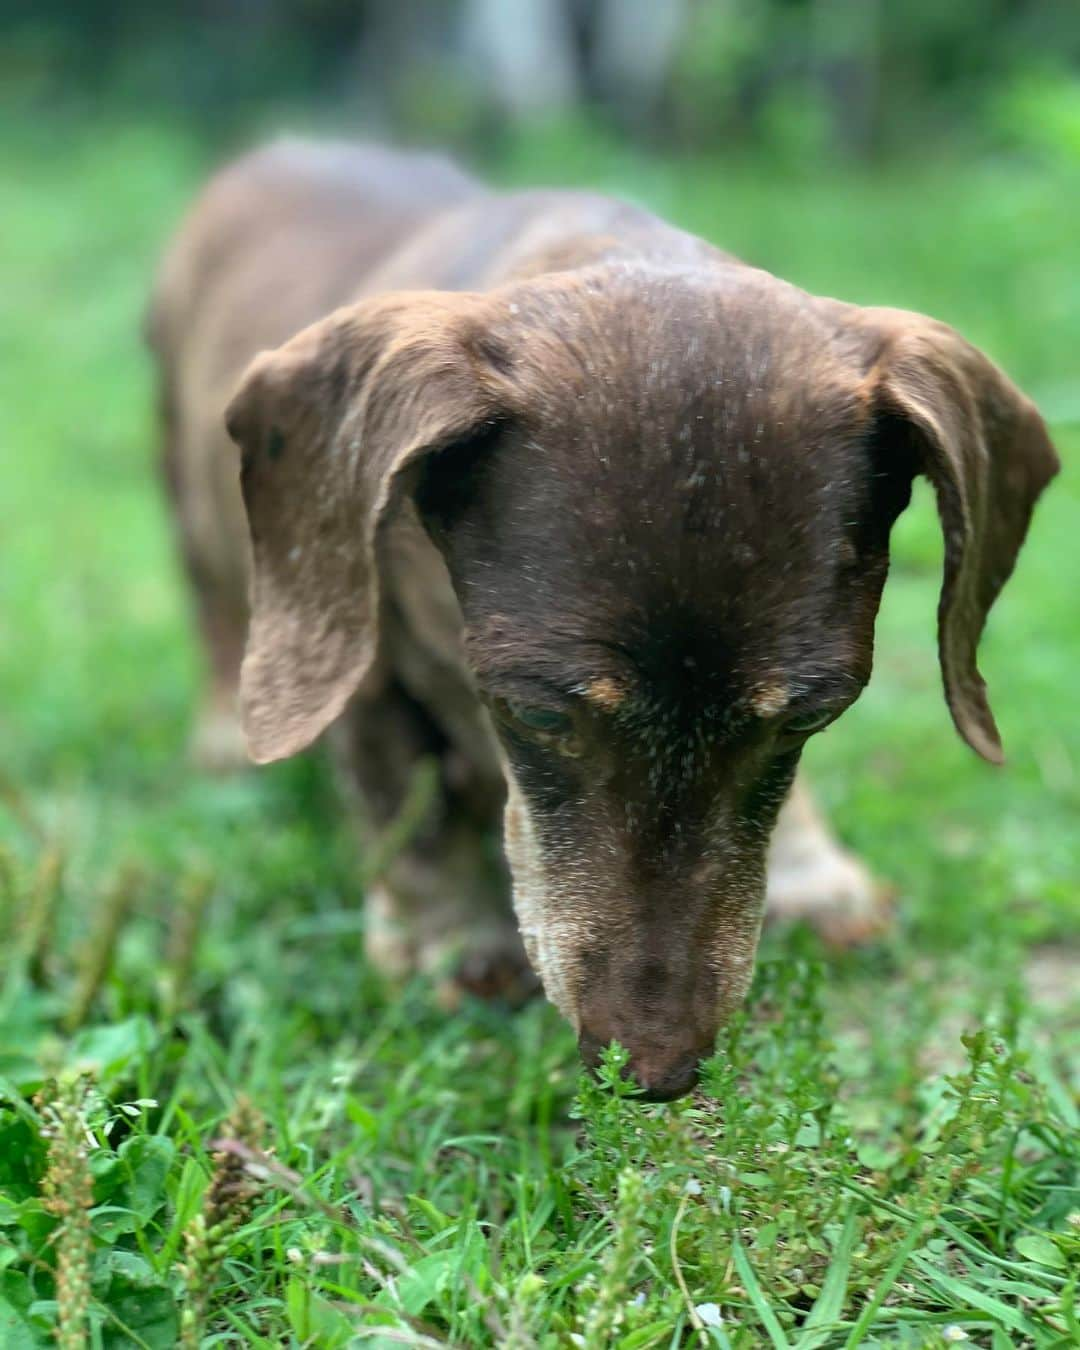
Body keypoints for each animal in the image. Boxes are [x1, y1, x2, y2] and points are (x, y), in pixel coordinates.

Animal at [147, 142, 1058, 1101]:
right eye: (538, 713)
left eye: (809, 718)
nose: (653, 1073)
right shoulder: (366, 656)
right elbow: (404, 800)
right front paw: (450, 944)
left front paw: (812, 875)